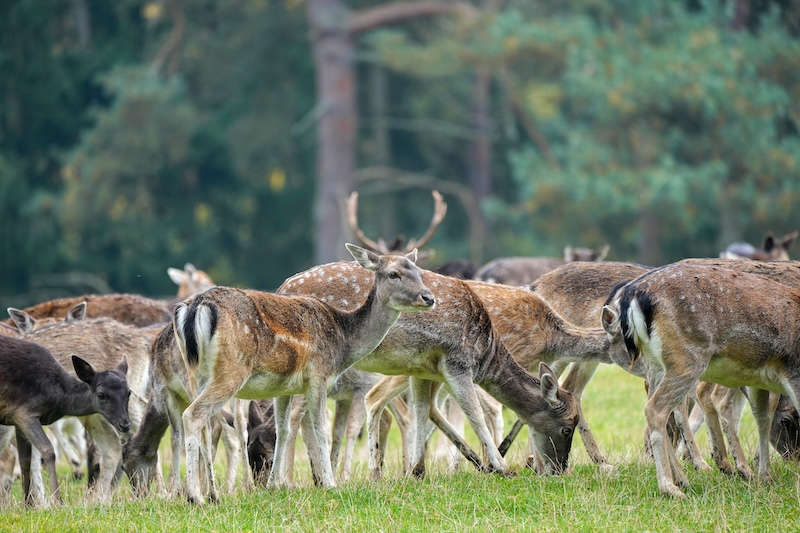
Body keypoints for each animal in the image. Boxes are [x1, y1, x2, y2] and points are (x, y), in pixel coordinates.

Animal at [0, 334, 130, 504]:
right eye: (101, 394)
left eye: (129, 392)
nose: (125, 424)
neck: (58, 398)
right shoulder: (24, 412)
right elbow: (48, 450)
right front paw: (58, 501)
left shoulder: (16, 419)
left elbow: (24, 460)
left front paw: (28, 504)